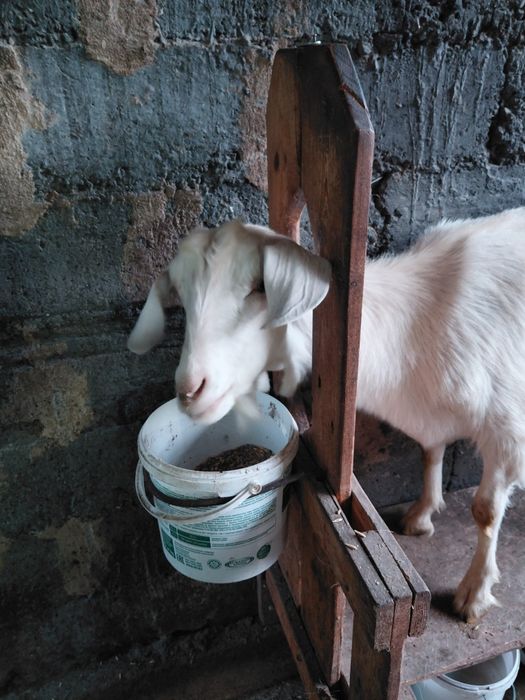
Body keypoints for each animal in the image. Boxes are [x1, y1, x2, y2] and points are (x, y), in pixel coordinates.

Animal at [128, 209, 525, 623]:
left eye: (260, 288)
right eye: (181, 299)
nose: (191, 390)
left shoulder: (508, 433)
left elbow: (484, 510)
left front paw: (474, 593)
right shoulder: (431, 420)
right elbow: (430, 452)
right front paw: (420, 516)